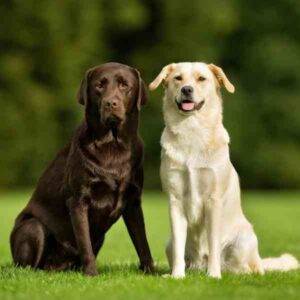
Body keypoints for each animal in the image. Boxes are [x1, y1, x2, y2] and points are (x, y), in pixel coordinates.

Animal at [9, 62, 155, 276]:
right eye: (99, 85)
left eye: (124, 85)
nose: (110, 103)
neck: (113, 145)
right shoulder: (78, 200)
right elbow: (84, 242)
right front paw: (92, 274)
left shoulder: (133, 201)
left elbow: (143, 243)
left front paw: (152, 272)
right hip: (33, 227)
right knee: (28, 266)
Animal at [149, 61, 298, 278]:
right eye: (178, 78)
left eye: (201, 78)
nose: (187, 89)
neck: (191, 131)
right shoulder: (175, 201)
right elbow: (178, 247)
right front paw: (177, 276)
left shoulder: (213, 200)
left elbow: (213, 243)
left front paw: (214, 275)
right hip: (168, 243)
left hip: (244, 240)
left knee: (249, 269)